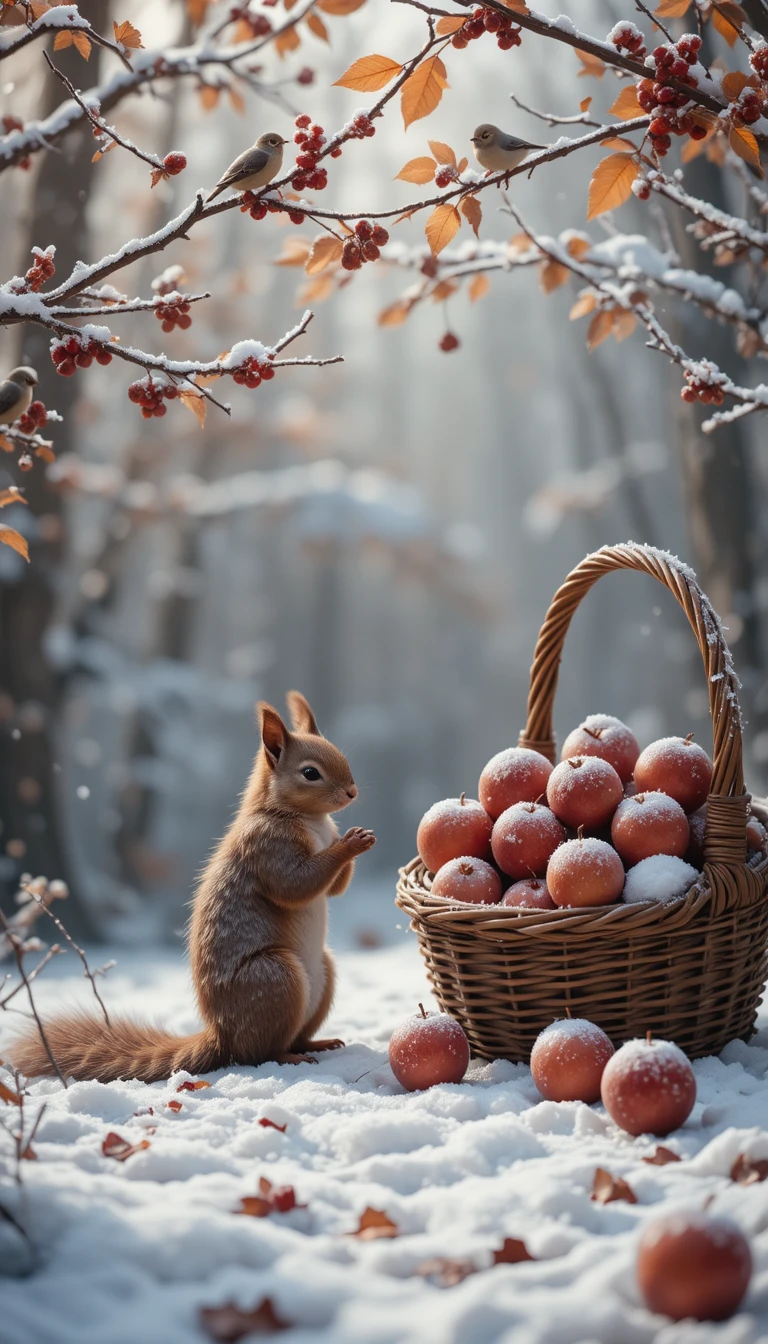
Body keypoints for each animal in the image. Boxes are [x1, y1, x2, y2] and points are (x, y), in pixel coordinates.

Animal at [10, 692, 375, 1084]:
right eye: (310, 773)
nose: (353, 792)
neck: (307, 819)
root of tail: (221, 1036)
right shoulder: (266, 847)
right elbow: (295, 885)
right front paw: (350, 844)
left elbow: (332, 888)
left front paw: (355, 837)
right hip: (275, 977)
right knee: (260, 1052)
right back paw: (290, 1057)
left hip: (322, 973)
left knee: (295, 1037)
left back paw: (319, 1043)